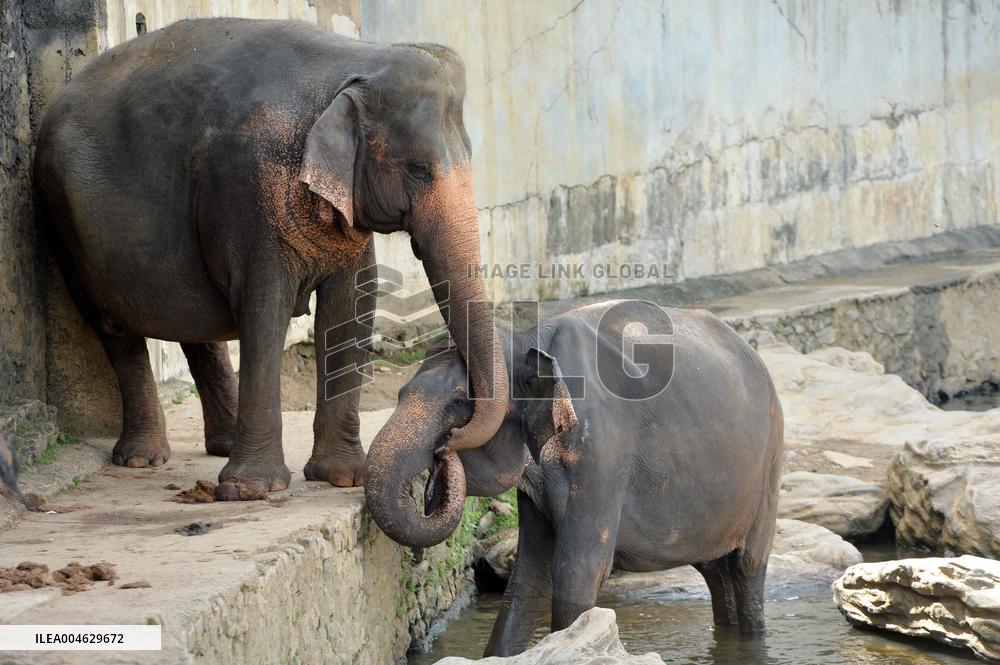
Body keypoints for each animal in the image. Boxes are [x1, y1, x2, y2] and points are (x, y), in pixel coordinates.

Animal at [32, 18, 508, 495]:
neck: (353, 60)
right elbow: (264, 309)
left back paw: (220, 445)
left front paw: (343, 477)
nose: (447, 438)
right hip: (65, 223)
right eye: (419, 169)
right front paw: (251, 488)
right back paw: (142, 459)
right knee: (117, 329)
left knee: (192, 319)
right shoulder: (246, 190)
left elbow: (350, 309)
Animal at [365, 299, 784, 656]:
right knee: (716, 572)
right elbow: (529, 579)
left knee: (747, 569)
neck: (530, 341)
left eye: (457, 402)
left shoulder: (600, 448)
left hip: (769, 463)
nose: (441, 455)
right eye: (399, 393)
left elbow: (576, 573)